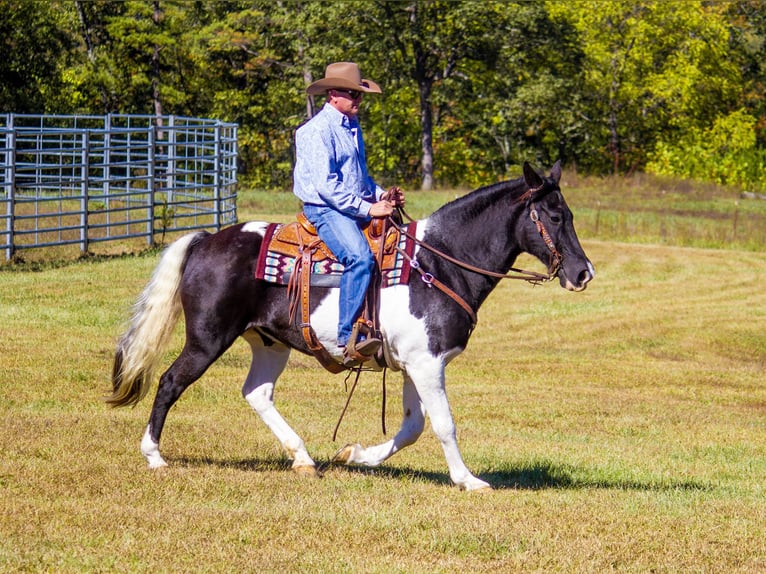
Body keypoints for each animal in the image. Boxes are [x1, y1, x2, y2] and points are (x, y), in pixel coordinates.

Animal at [109, 163, 592, 496]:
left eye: (568, 213)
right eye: (553, 216)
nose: (583, 273)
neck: (437, 264)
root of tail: (205, 240)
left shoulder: (414, 364)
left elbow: (413, 426)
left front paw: (357, 455)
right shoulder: (426, 364)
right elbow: (443, 424)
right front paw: (467, 479)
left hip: (269, 343)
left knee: (257, 393)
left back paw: (303, 458)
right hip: (207, 339)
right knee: (171, 382)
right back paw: (154, 456)